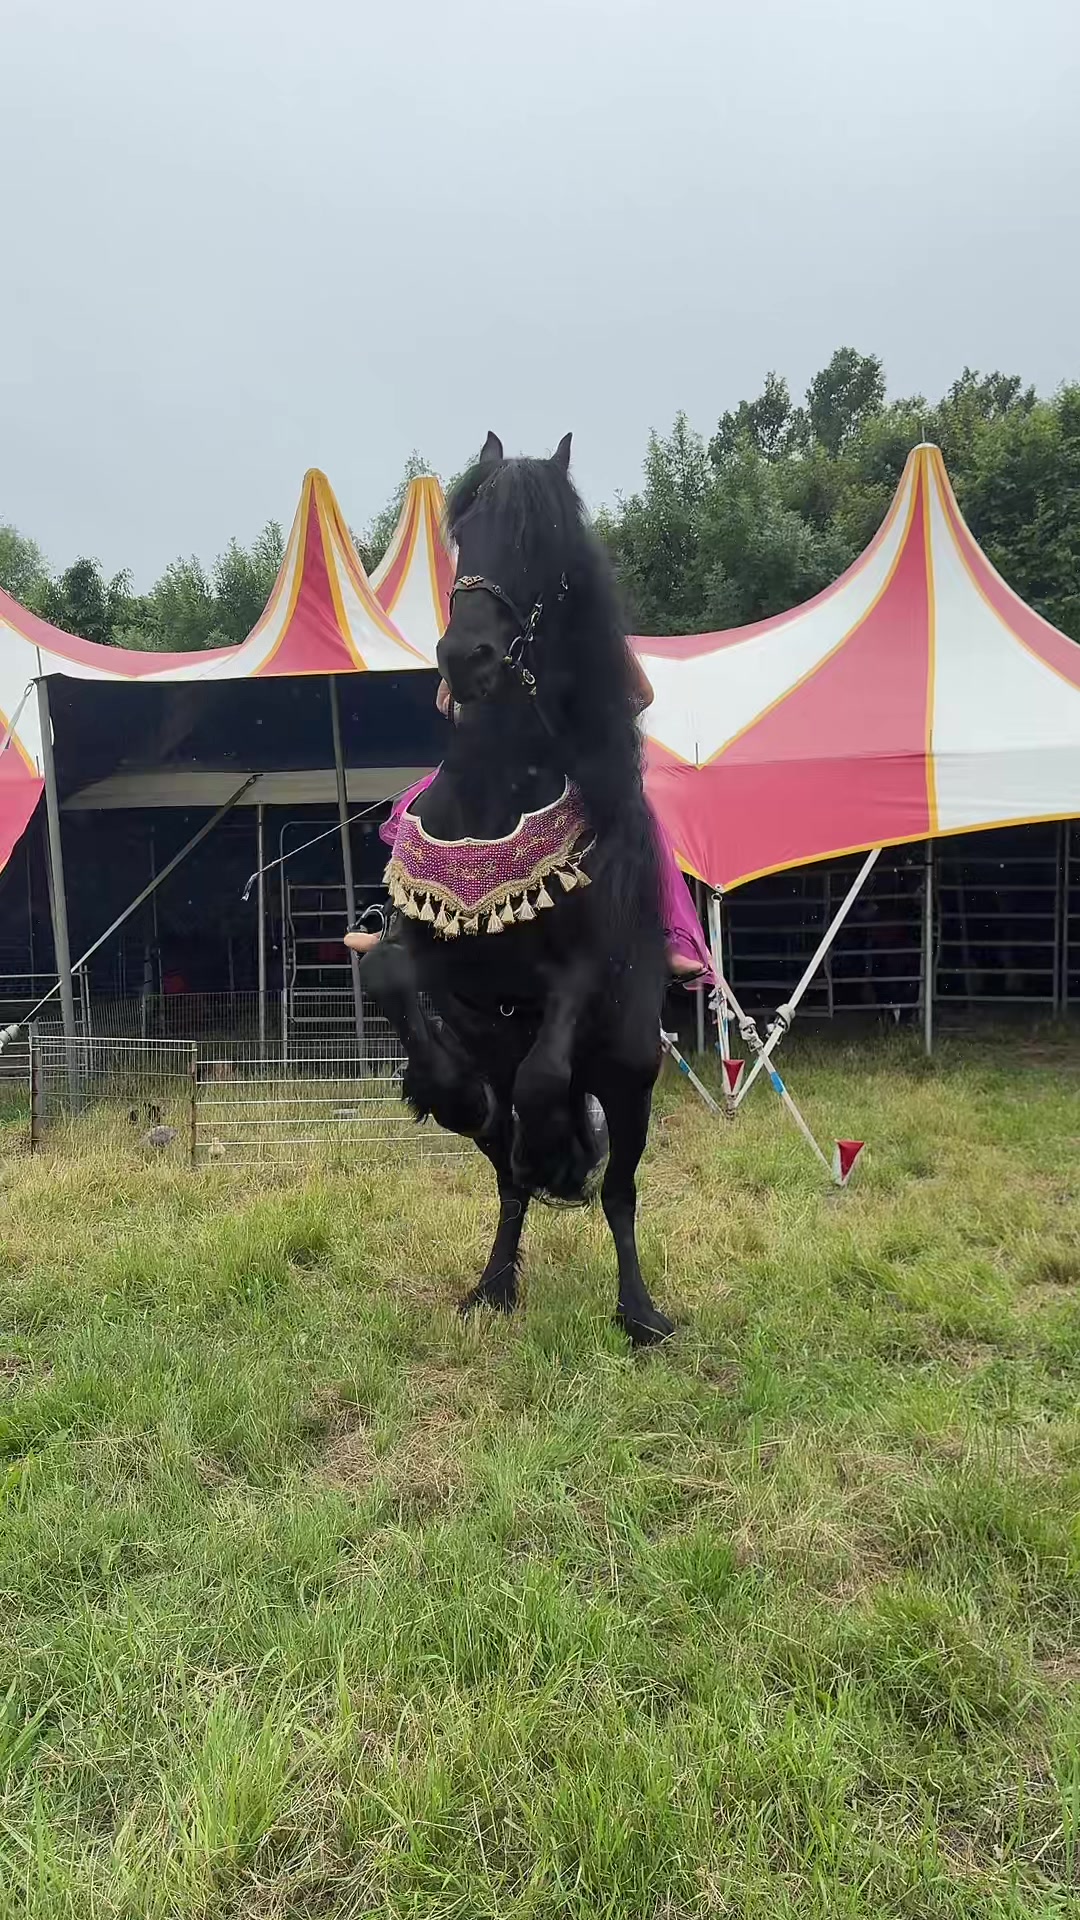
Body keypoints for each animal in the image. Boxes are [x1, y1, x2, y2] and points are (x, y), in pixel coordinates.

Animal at [360, 431, 675, 1345]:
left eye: (546, 549)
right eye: (463, 535)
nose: (465, 658)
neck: (496, 790)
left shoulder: (581, 977)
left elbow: (544, 1085)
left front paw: (553, 1147)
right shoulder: (431, 949)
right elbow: (388, 974)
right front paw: (445, 1091)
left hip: (631, 1073)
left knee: (618, 1190)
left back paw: (640, 1312)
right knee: (503, 1178)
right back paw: (494, 1284)